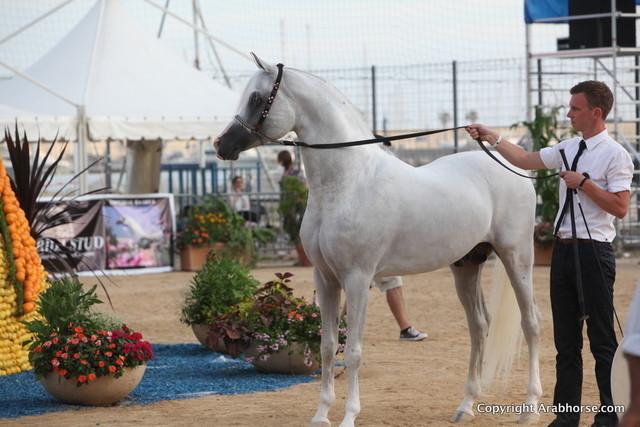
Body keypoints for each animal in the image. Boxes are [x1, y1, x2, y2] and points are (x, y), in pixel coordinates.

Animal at [215, 53, 542, 426]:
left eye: (257, 98)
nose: (221, 145)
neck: (348, 182)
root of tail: (514, 166)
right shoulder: (325, 278)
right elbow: (327, 346)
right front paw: (321, 415)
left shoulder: (357, 279)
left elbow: (354, 351)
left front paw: (348, 416)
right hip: (466, 265)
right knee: (479, 326)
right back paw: (466, 405)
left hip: (517, 257)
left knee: (531, 323)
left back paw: (530, 406)